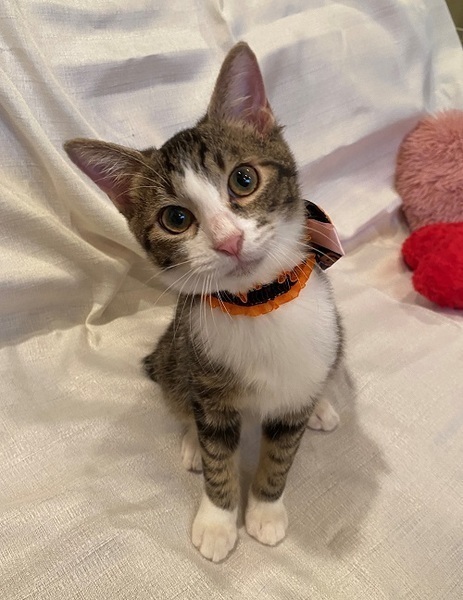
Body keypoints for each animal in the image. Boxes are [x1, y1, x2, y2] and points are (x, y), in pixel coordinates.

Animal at [64, 42, 343, 562]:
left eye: (244, 179)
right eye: (176, 219)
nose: (229, 240)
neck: (257, 303)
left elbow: (282, 454)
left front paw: (266, 511)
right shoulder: (205, 373)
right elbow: (218, 453)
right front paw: (218, 520)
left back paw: (320, 406)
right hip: (178, 351)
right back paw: (192, 442)